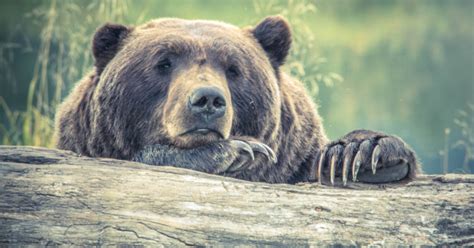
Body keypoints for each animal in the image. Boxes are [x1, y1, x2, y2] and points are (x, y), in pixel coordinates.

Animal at [53, 15, 420, 185]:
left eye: (233, 68)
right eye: (163, 63)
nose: (207, 100)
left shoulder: (294, 158)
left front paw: (360, 153)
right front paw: (239, 150)